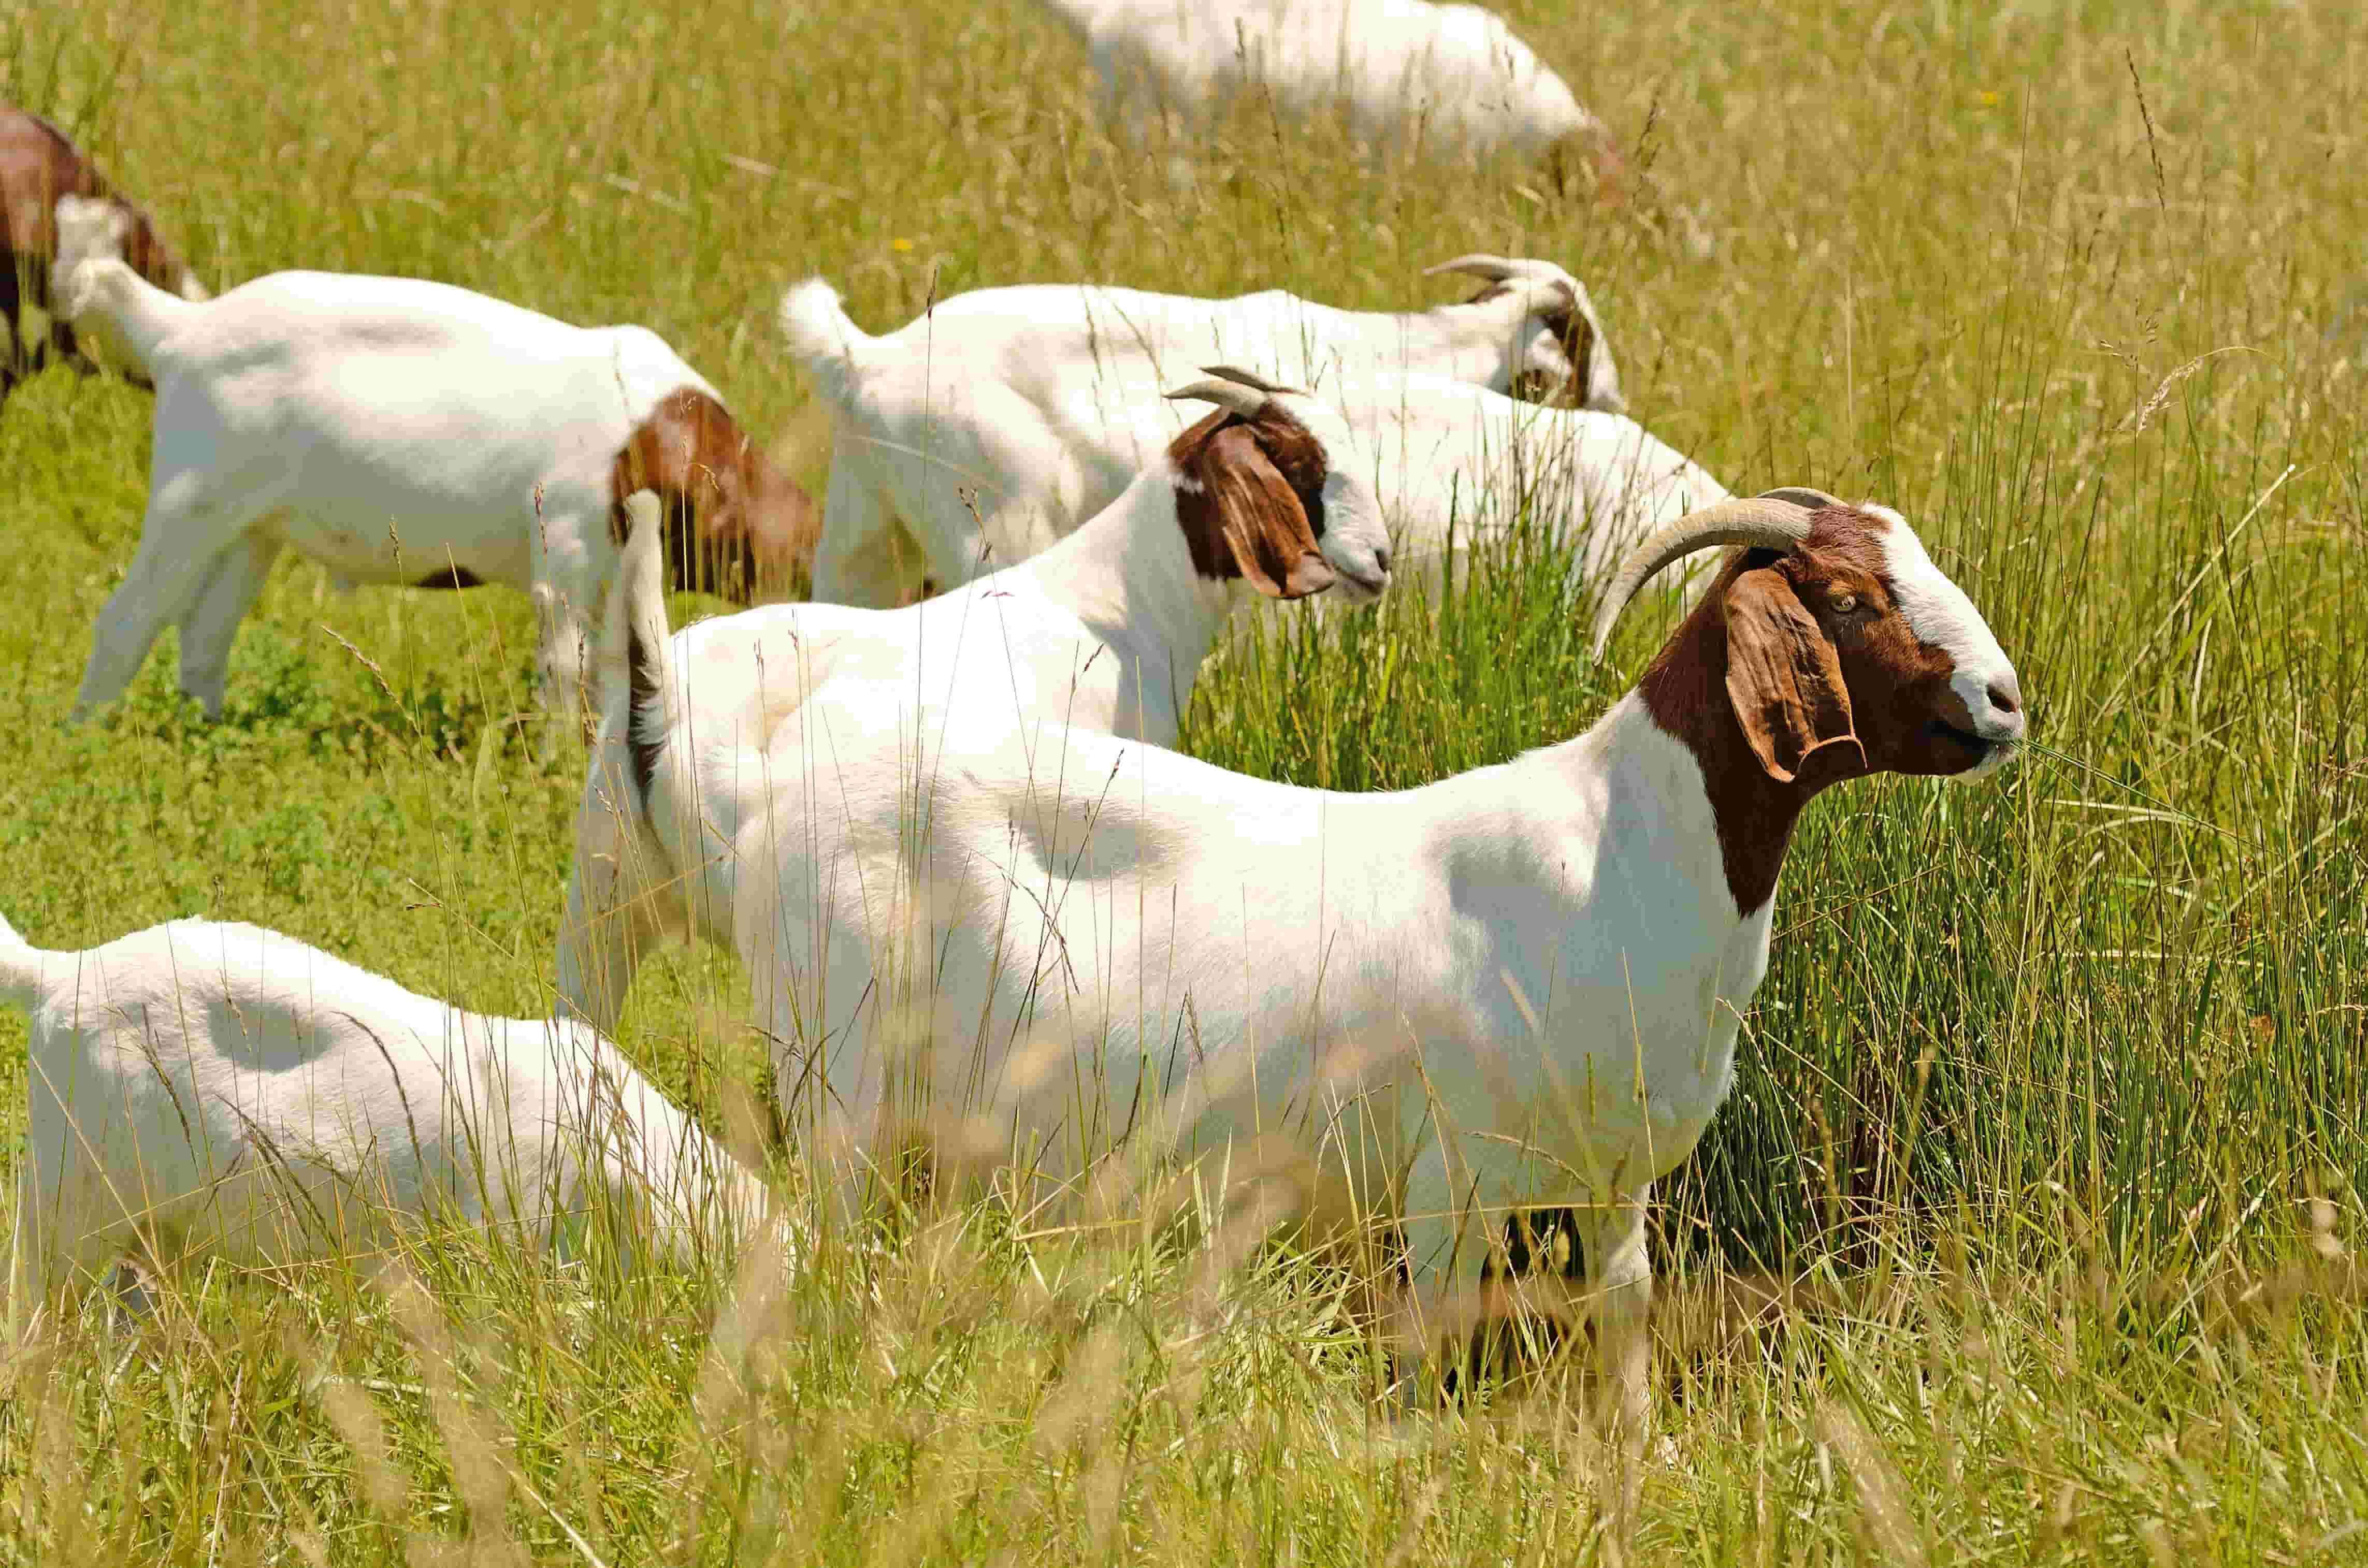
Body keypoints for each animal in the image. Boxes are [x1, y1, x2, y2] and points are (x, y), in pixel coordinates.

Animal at [53, 200, 824, 729]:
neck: (662, 434)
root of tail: (182, 329)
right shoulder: (566, 549)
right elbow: (563, 667)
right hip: (190, 496)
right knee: (127, 619)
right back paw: (84, 738)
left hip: (253, 528)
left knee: (204, 636)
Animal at [611, 492, 2017, 1478]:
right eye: (1850, 594)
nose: (2005, 699)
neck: (1622, 850)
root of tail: (771, 799)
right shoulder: (1451, 1171)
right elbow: (1426, 1344)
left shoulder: (1617, 1178)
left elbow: (1623, 1322)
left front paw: (1636, 1457)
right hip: (837, 1079)